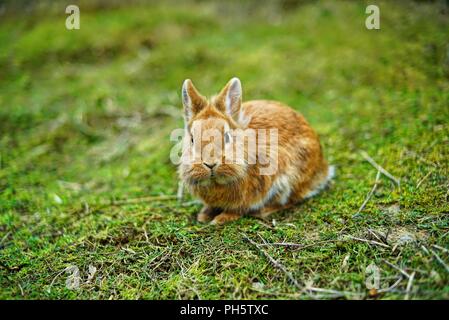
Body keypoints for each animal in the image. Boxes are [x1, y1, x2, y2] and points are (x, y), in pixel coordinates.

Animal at [178, 77, 332, 225]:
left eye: (227, 137)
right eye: (192, 139)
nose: (210, 164)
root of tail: (322, 169)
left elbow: (238, 209)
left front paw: (220, 219)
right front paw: (204, 215)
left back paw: (263, 211)